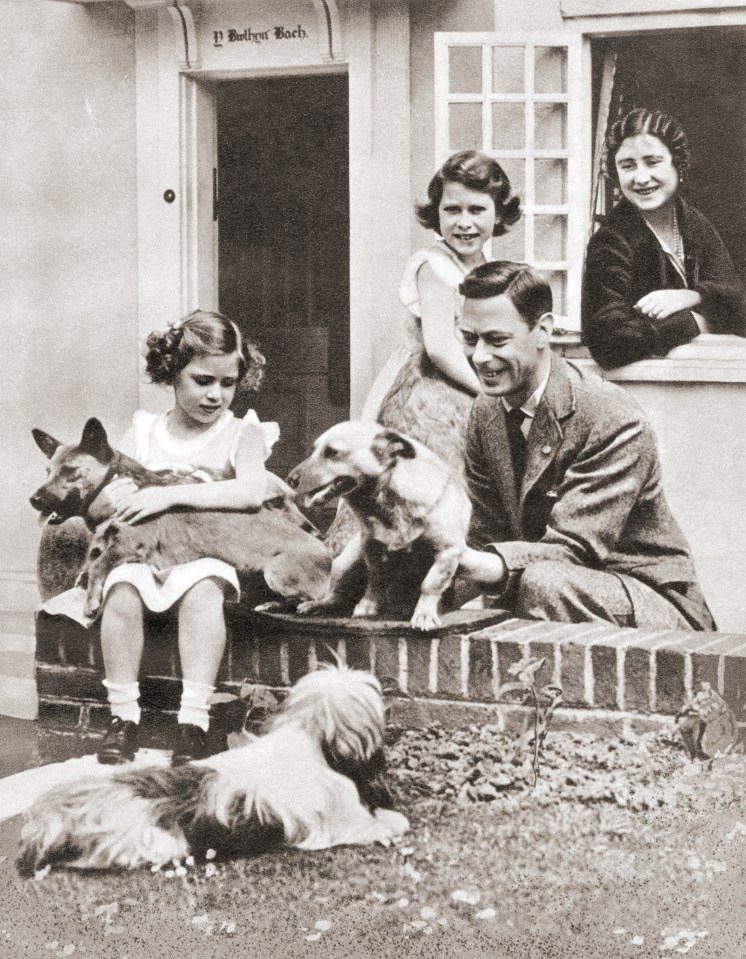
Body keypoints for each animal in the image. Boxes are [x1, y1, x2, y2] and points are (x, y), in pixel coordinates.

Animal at [16, 668, 406, 876]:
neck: (310, 737)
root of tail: (55, 816)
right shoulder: (345, 820)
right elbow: (384, 824)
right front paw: (396, 820)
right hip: (156, 844)